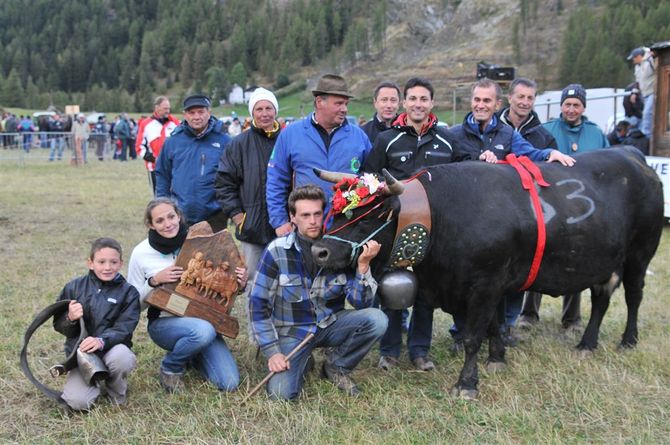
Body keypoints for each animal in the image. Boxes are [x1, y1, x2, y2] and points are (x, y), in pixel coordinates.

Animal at [314, 147, 668, 398]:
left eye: (369, 218)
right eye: (338, 213)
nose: (320, 250)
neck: (442, 215)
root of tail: (634, 156)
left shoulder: (485, 284)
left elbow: (474, 336)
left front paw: (467, 384)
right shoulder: (490, 285)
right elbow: (493, 327)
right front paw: (497, 359)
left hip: (640, 252)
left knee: (633, 296)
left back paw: (628, 340)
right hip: (605, 261)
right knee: (601, 299)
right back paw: (587, 344)